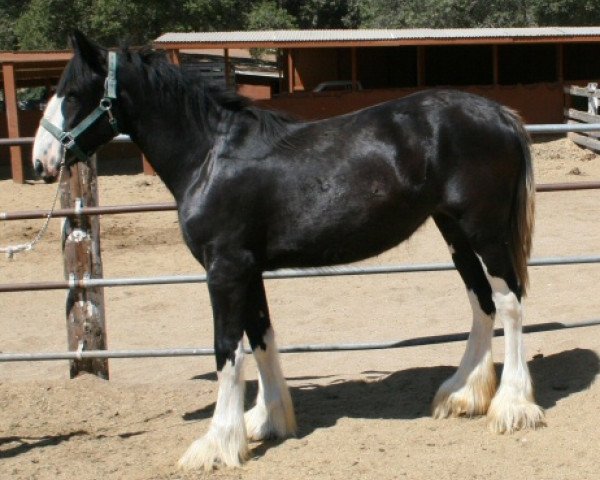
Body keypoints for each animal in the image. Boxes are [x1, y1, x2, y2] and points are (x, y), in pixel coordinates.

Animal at [34, 31, 548, 470]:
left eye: (72, 93)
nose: (42, 161)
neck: (210, 158)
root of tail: (500, 115)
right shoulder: (249, 269)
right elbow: (261, 336)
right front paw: (268, 421)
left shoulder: (225, 269)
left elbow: (226, 349)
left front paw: (217, 444)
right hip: (454, 232)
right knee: (482, 303)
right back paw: (461, 394)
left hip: (484, 232)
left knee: (510, 303)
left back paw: (512, 406)